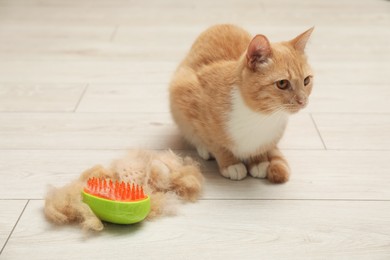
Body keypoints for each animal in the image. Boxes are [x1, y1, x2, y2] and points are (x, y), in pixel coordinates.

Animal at [169, 25, 312, 182]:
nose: (302, 101)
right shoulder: (188, 98)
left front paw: (259, 160)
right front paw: (230, 163)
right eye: (282, 83)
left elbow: (262, 147)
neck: (260, 116)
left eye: (306, 81)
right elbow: (215, 142)